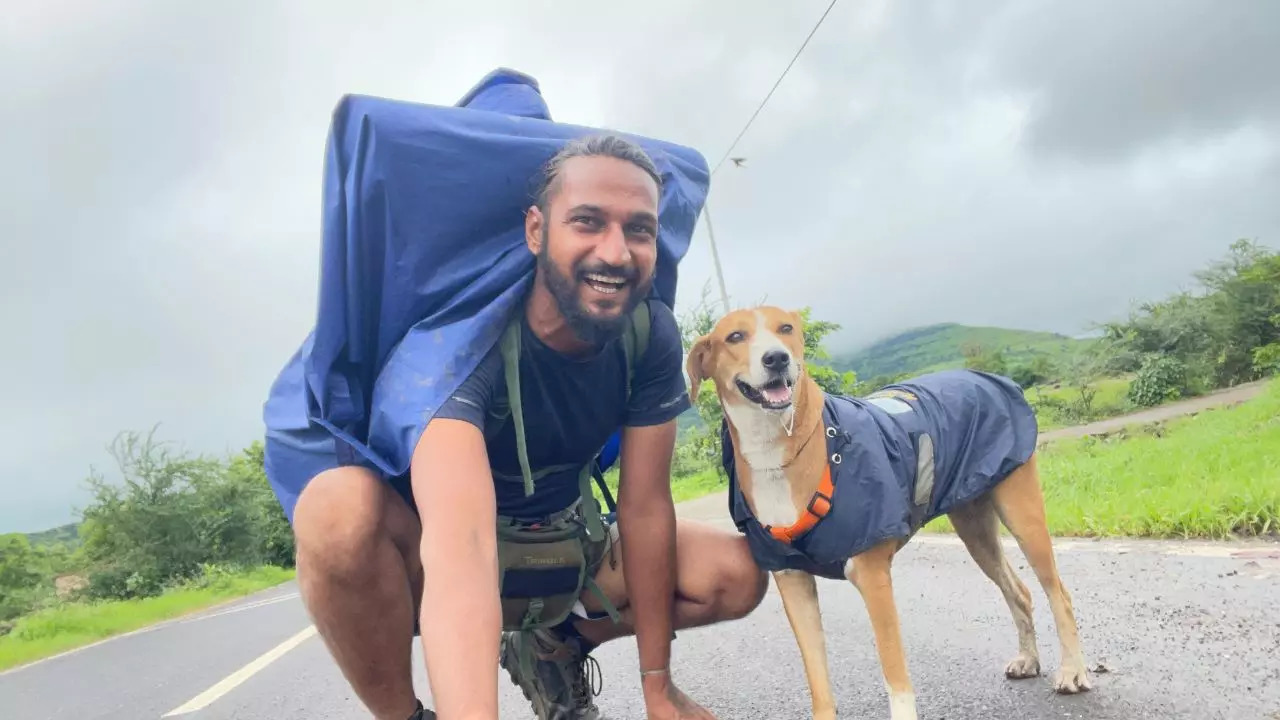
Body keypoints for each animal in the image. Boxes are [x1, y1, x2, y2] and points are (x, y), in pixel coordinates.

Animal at [686, 302, 1095, 717]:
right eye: (735, 336)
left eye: (785, 328)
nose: (776, 358)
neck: (777, 452)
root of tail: (989, 378)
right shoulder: (792, 580)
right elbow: (818, 679)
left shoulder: (872, 576)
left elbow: (894, 674)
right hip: (974, 526)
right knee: (1019, 591)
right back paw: (1029, 659)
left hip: (1021, 511)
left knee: (1058, 593)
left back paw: (1072, 670)